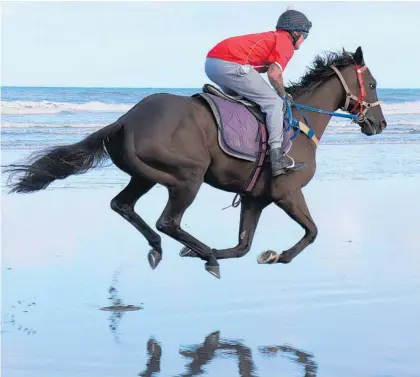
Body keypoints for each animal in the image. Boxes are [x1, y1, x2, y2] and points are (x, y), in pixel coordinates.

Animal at [4, 45, 388, 278]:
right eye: (372, 83)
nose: (380, 124)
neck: (303, 121)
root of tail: (126, 119)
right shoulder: (287, 193)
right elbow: (311, 232)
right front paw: (276, 255)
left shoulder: (255, 198)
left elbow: (244, 246)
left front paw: (238, 253)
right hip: (187, 177)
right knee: (166, 221)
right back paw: (201, 253)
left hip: (145, 176)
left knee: (123, 205)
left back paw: (167, 249)